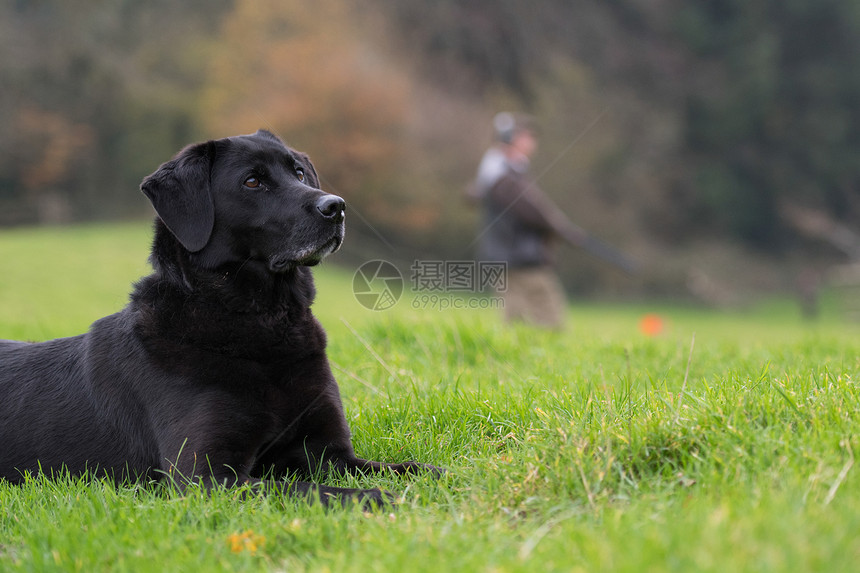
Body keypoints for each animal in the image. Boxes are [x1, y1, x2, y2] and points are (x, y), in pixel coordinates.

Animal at [0, 130, 440, 504]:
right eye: (252, 182)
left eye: (298, 172)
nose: (336, 206)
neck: (264, 324)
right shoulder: (205, 476)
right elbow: (308, 489)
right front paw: (378, 498)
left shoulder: (330, 453)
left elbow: (410, 468)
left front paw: (432, 476)